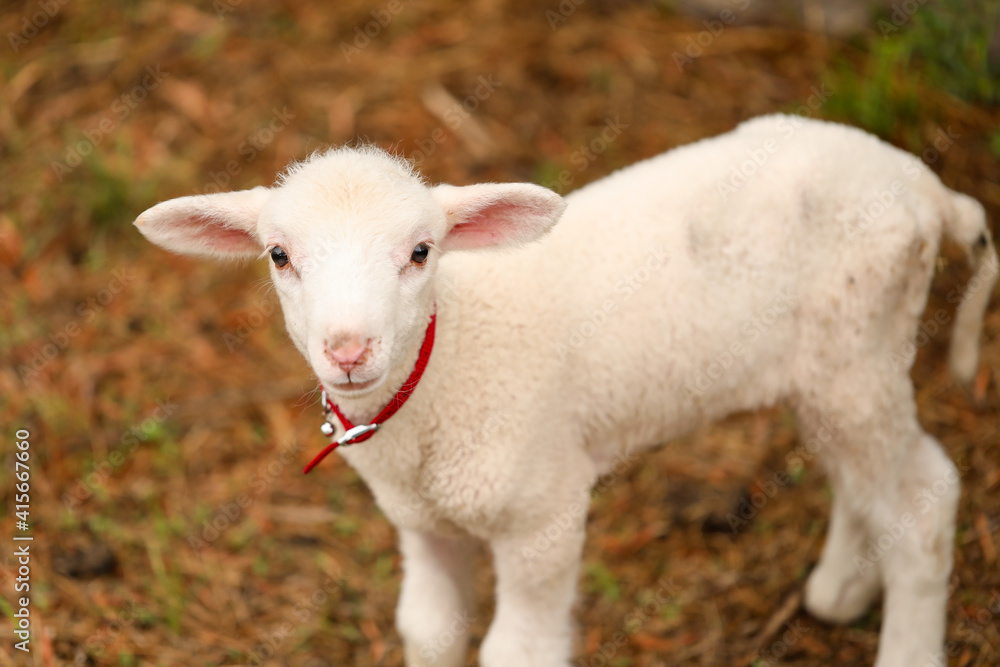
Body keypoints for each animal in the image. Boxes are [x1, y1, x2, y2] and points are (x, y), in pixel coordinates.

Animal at [134, 114, 997, 667]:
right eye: (279, 255)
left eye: (421, 251)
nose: (349, 350)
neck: (448, 368)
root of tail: (927, 189)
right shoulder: (422, 522)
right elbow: (430, 631)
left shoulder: (541, 512)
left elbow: (514, 650)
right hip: (838, 363)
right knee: (869, 480)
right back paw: (840, 588)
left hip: (859, 347)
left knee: (923, 498)